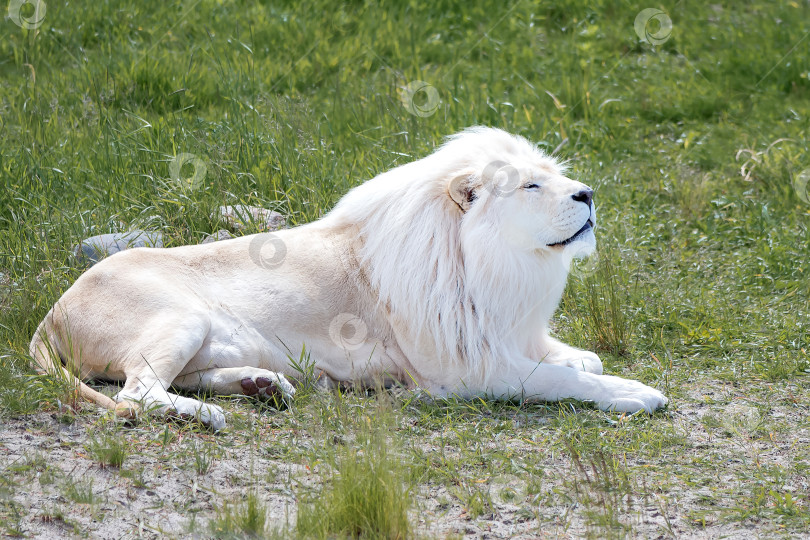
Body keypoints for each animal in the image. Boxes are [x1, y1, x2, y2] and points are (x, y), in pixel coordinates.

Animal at [28, 127, 664, 430]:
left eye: (556, 175)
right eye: (532, 185)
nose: (588, 194)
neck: (507, 266)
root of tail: (50, 314)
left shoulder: (507, 335)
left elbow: (579, 360)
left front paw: (589, 362)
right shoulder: (463, 371)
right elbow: (564, 380)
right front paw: (635, 393)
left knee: (175, 379)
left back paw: (263, 386)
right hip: (179, 316)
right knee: (137, 393)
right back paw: (210, 415)